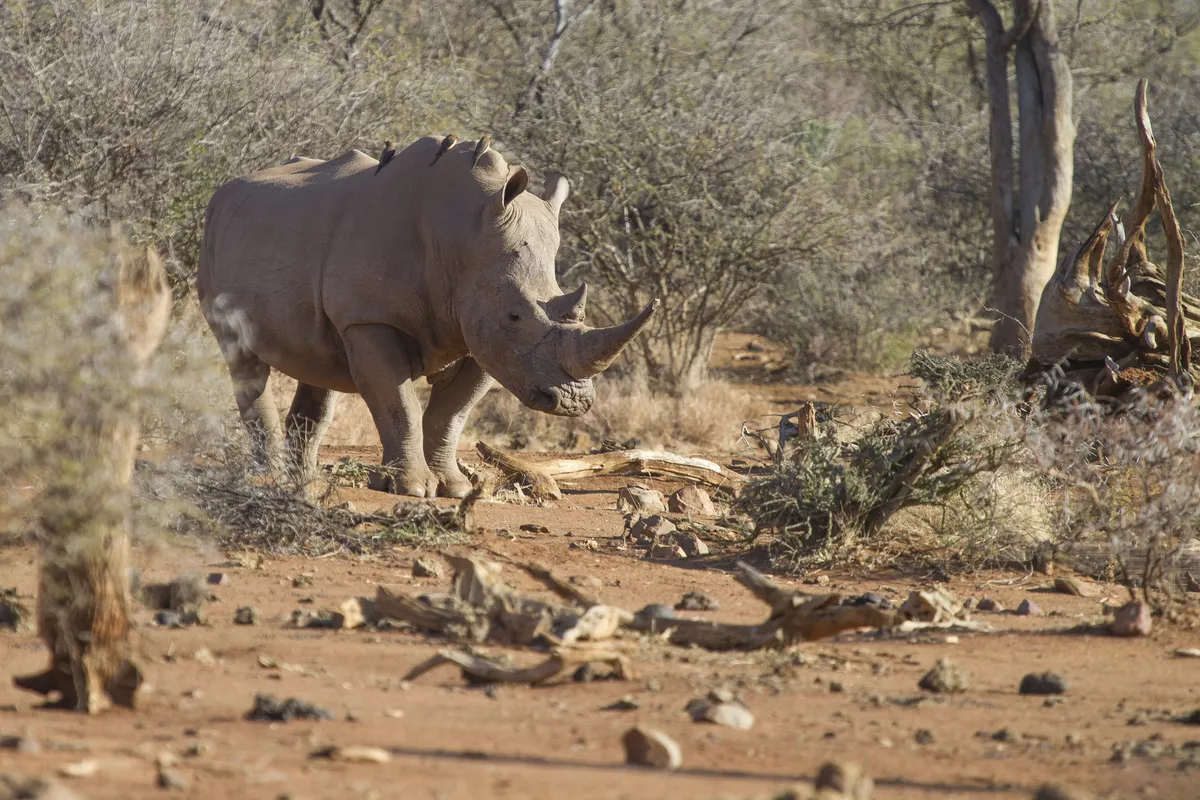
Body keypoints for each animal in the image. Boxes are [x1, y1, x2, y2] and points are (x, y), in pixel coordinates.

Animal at [196, 139, 657, 501]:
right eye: (514, 315)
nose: (572, 402)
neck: (462, 237)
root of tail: (226, 190)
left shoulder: (482, 334)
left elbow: (452, 413)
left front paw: (454, 487)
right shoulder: (372, 319)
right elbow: (399, 403)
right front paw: (411, 488)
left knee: (318, 367)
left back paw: (304, 482)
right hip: (215, 239)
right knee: (244, 360)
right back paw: (270, 478)